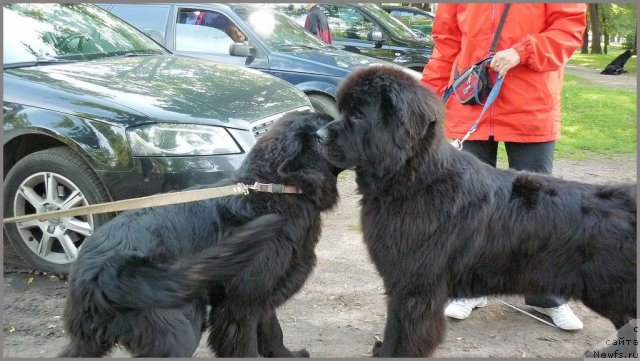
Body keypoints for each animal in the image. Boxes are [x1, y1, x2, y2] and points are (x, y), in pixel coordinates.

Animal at [59, 110, 340, 358]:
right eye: (328, 125)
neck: (274, 190)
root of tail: (100, 272)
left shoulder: (265, 293)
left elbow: (273, 333)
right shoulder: (240, 306)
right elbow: (248, 345)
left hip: (89, 341)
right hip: (180, 329)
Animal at [318, 65, 636, 358]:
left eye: (358, 116)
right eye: (341, 111)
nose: (319, 134)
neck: (412, 178)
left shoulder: (413, 286)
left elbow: (402, 332)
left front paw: (389, 352)